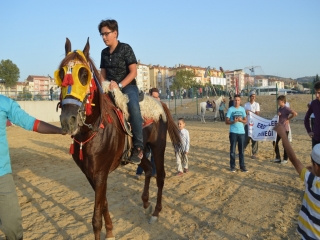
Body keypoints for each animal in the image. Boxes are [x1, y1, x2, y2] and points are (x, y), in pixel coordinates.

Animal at [55, 38, 185, 240]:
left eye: (84, 74)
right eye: (61, 74)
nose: (68, 119)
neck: (93, 132)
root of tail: (160, 103)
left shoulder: (101, 174)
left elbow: (96, 219)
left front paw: (106, 230)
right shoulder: (91, 175)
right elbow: (104, 204)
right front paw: (110, 231)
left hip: (158, 146)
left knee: (160, 176)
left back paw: (155, 212)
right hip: (140, 151)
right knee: (149, 169)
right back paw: (146, 204)